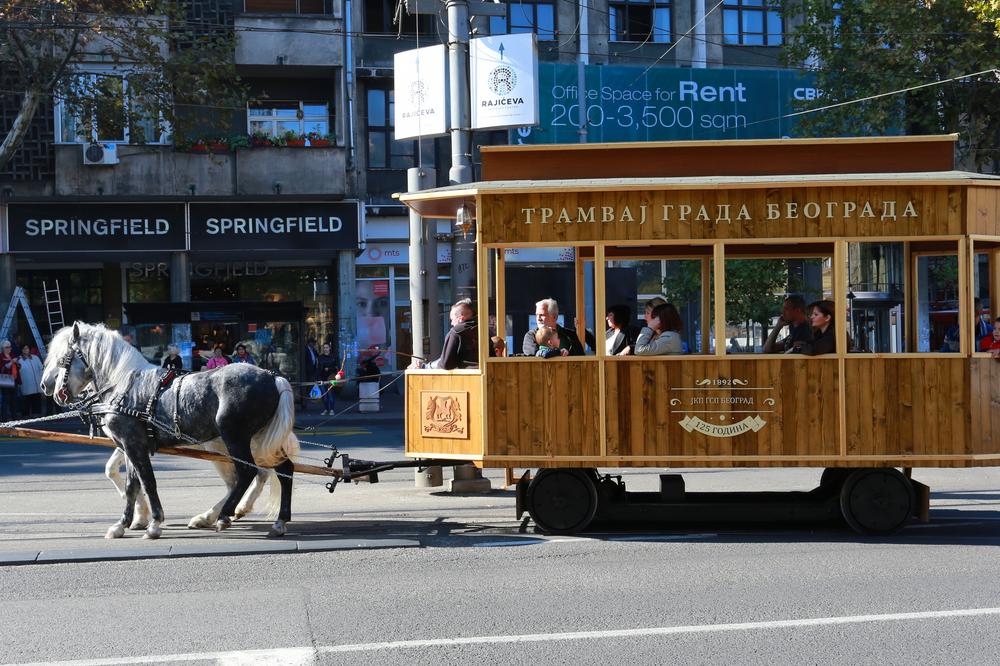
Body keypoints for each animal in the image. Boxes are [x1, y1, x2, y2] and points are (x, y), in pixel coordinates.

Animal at [42, 322, 300, 540]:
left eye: (63, 358)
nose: (48, 387)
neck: (123, 385)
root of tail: (272, 377)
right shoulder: (129, 446)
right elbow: (132, 485)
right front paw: (123, 524)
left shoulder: (133, 445)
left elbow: (148, 482)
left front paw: (154, 523)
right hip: (257, 441)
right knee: (281, 470)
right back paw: (277, 521)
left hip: (234, 437)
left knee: (247, 472)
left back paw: (224, 516)